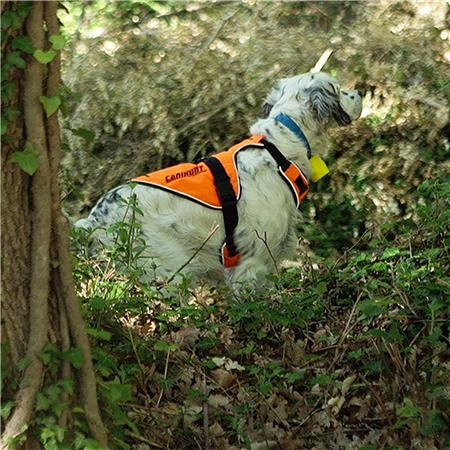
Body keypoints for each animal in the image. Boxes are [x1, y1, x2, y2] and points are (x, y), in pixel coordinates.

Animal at [76, 72, 362, 290]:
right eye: (338, 89)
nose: (359, 92)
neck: (278, 147)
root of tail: (95, 220)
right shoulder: (252, 260)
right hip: (167, 268)